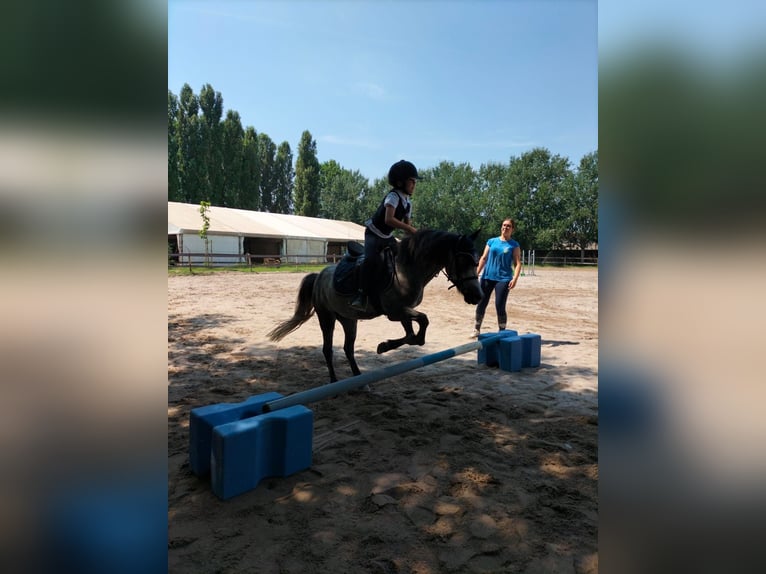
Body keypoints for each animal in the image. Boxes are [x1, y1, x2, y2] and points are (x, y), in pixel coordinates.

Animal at [268, 230, 484, 382]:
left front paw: (385, 345)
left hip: (349, 319)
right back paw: (334, 381)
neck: (407, 269)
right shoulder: (395, 312)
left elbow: (412, 336)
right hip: (326, 317)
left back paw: (359, 378)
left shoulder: (403, 311)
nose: (478, 295)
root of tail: (319, 275)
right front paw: (384, 346)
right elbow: (423, 321)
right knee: (328, 349)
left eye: (476, 260)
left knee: (348, 348)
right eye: (463, 260)